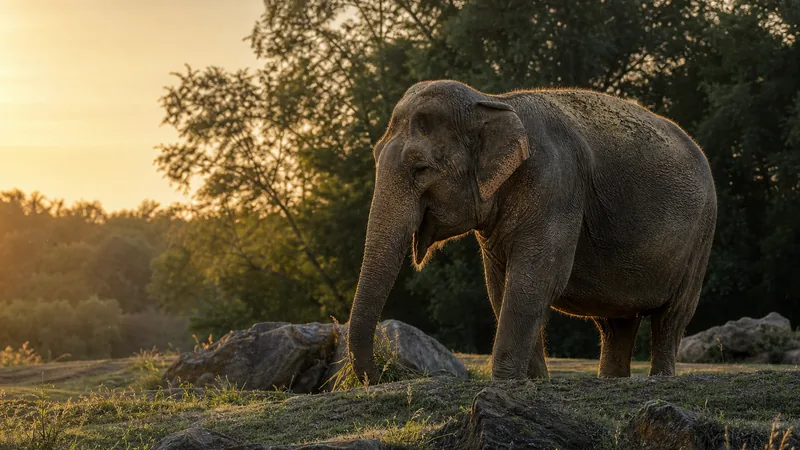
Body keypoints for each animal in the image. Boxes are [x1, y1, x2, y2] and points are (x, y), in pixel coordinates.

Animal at [345, 79, 717, 381]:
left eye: (420, 168)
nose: (381, 374)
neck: (493, 101)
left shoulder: (557, 185)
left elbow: (535, 280)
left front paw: (507, 381)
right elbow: (500, 286)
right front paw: (534, 381)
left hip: (701, 235)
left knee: (672, 316)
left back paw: (660, 379)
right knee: (617, 324)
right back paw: (613, 381)